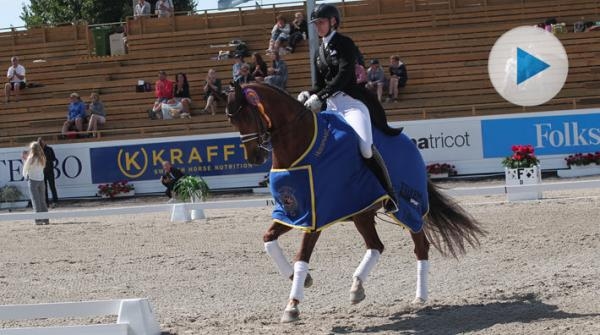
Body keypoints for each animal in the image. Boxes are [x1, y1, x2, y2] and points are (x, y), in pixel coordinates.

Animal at [225, 82, 482, 324]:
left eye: (247, 115)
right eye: (232, 120)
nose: (254, 157)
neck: (300, 147)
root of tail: (410, 144)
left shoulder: (315, 216)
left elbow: (301, 257)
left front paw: (292, 306)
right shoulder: (293, 212)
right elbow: (268, 239)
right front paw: (303, 281)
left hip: (410, 210)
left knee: (421, 247)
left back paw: (420, 297)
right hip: (362, 213)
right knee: (376, 246)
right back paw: (357, 287)